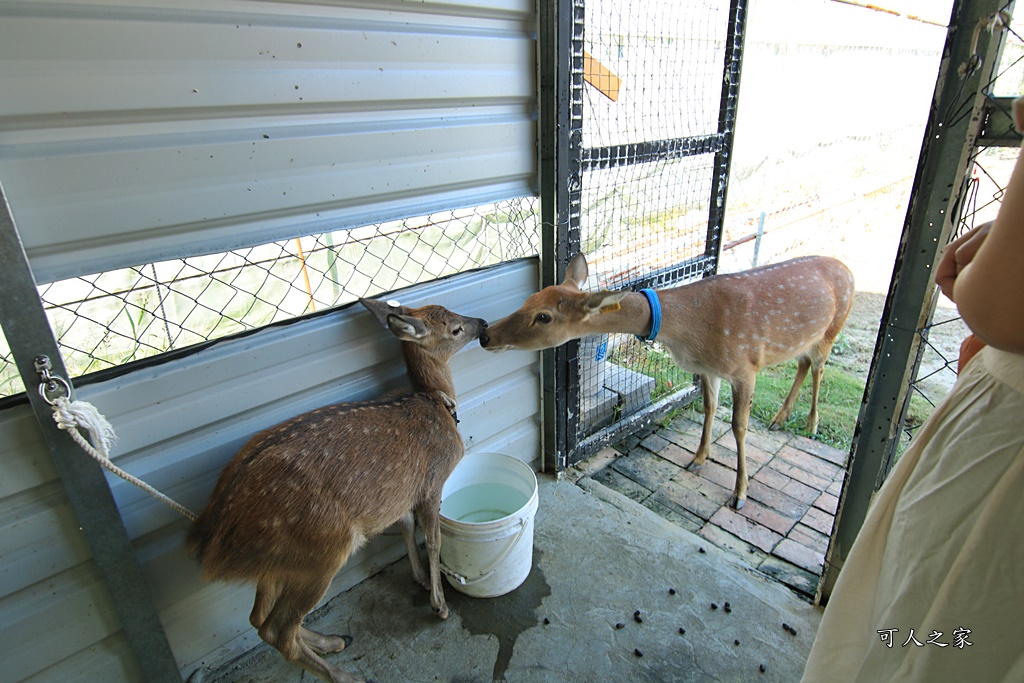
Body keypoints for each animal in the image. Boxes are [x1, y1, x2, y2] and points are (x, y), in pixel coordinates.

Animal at [187, 296, 487, 683]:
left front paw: (420, 579)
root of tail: (208, 543)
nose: (482, 323)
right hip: (322, 548)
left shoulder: (398, 492)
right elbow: (432, 539)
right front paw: (439, 604)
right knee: (277, 629)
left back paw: (330, 641)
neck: (434, 401)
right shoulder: (431, 482)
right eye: (455, 328)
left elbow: (406, 525)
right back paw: (344, 674)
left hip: (278, 559)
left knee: (259, 620)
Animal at [479, 253, 856, 509]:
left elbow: (738, 427)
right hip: (806, 340)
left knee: (819, 366)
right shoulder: (709, 369)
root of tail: (849, 268)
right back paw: (780, 419)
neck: (693, 330)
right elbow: (709, 407)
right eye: (530, 297)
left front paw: (740, 493)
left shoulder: (745, 365)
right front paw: (699, 458)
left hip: (833, 327)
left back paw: (810, 424)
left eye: (544, 317)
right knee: (803, 362)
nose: (486, 335)